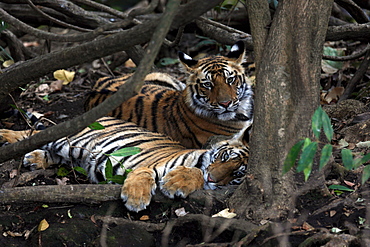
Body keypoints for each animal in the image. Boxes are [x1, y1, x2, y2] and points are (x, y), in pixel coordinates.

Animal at [0, 116, 250, 211]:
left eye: (237, 175)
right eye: (225, 158)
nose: (213, 178)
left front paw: (177, 182)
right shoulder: (150, 163)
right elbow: (143, 174)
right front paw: (136, 199)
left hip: (72, 151)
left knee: (52, 153)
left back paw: (33, 159)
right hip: (70, 138)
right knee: (33, 133)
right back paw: (5, 135)